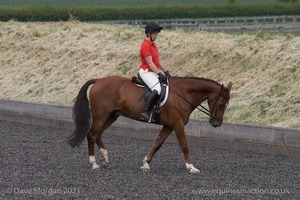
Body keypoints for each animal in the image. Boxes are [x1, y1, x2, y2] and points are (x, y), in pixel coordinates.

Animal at [67, 76, 232, 174]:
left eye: (226, 104)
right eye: (221, 104)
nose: (216, 123)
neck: (183, 94)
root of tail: (98, 80)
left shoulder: (169, 125)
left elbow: (157, 144)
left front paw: (146, 163)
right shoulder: (177, 124)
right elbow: (184, 145)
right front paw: (191, 167)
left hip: (111, 116)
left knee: (98, 134)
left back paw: (105, 159)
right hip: (101, 116)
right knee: (92, 135)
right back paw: (94, 163)